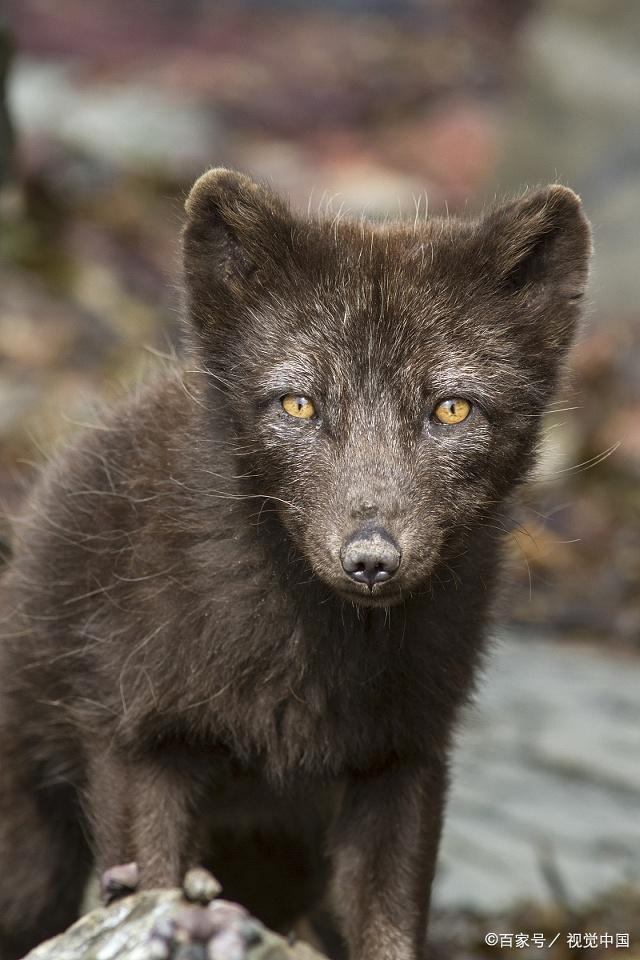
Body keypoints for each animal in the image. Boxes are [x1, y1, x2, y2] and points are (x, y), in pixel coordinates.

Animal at [0, 172, 592, 960]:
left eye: (452, 409)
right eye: (300, 404)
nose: (371, 558)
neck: (309, 670)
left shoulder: (404, 758)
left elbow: (389, 928)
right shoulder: (137, 739)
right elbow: (151, 887)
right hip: (32, 853)